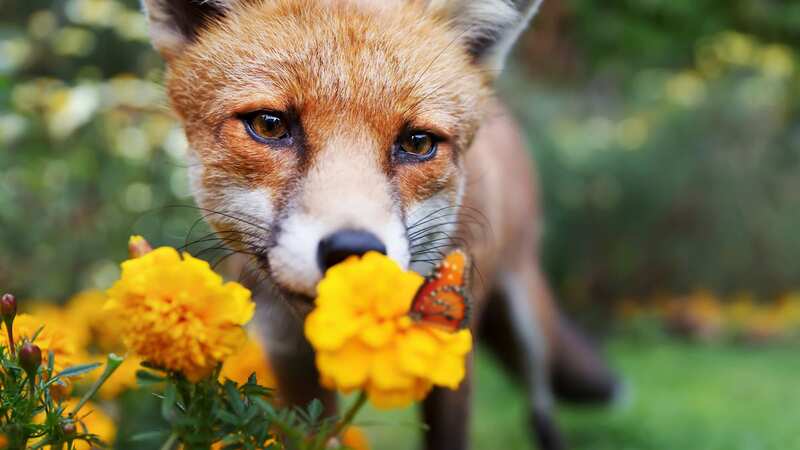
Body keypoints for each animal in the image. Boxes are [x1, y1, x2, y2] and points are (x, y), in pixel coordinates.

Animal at [141, 1, 620, 448]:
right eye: (269, 124)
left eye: (418, 142)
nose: (353, 250)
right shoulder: (286, 354)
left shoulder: (452, 351)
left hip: (525, 316)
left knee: (540, 401)